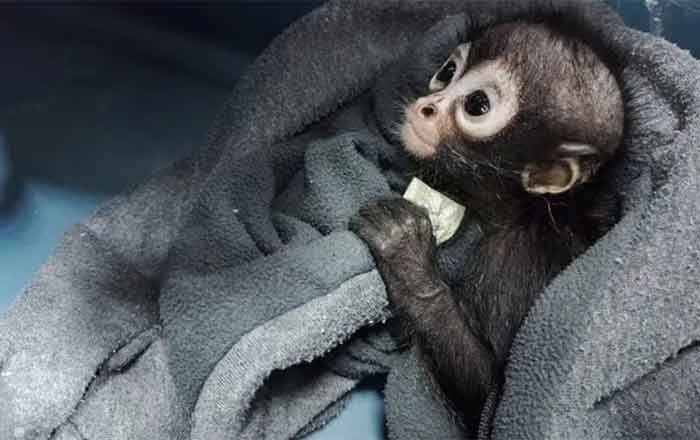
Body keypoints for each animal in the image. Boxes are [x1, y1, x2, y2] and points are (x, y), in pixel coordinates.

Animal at [349, 20, 625, 434]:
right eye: (448, 71)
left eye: (477, 105)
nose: (427, 107)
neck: (529, 210)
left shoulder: (513, 264)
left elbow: (487, 391)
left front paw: (408, 261)